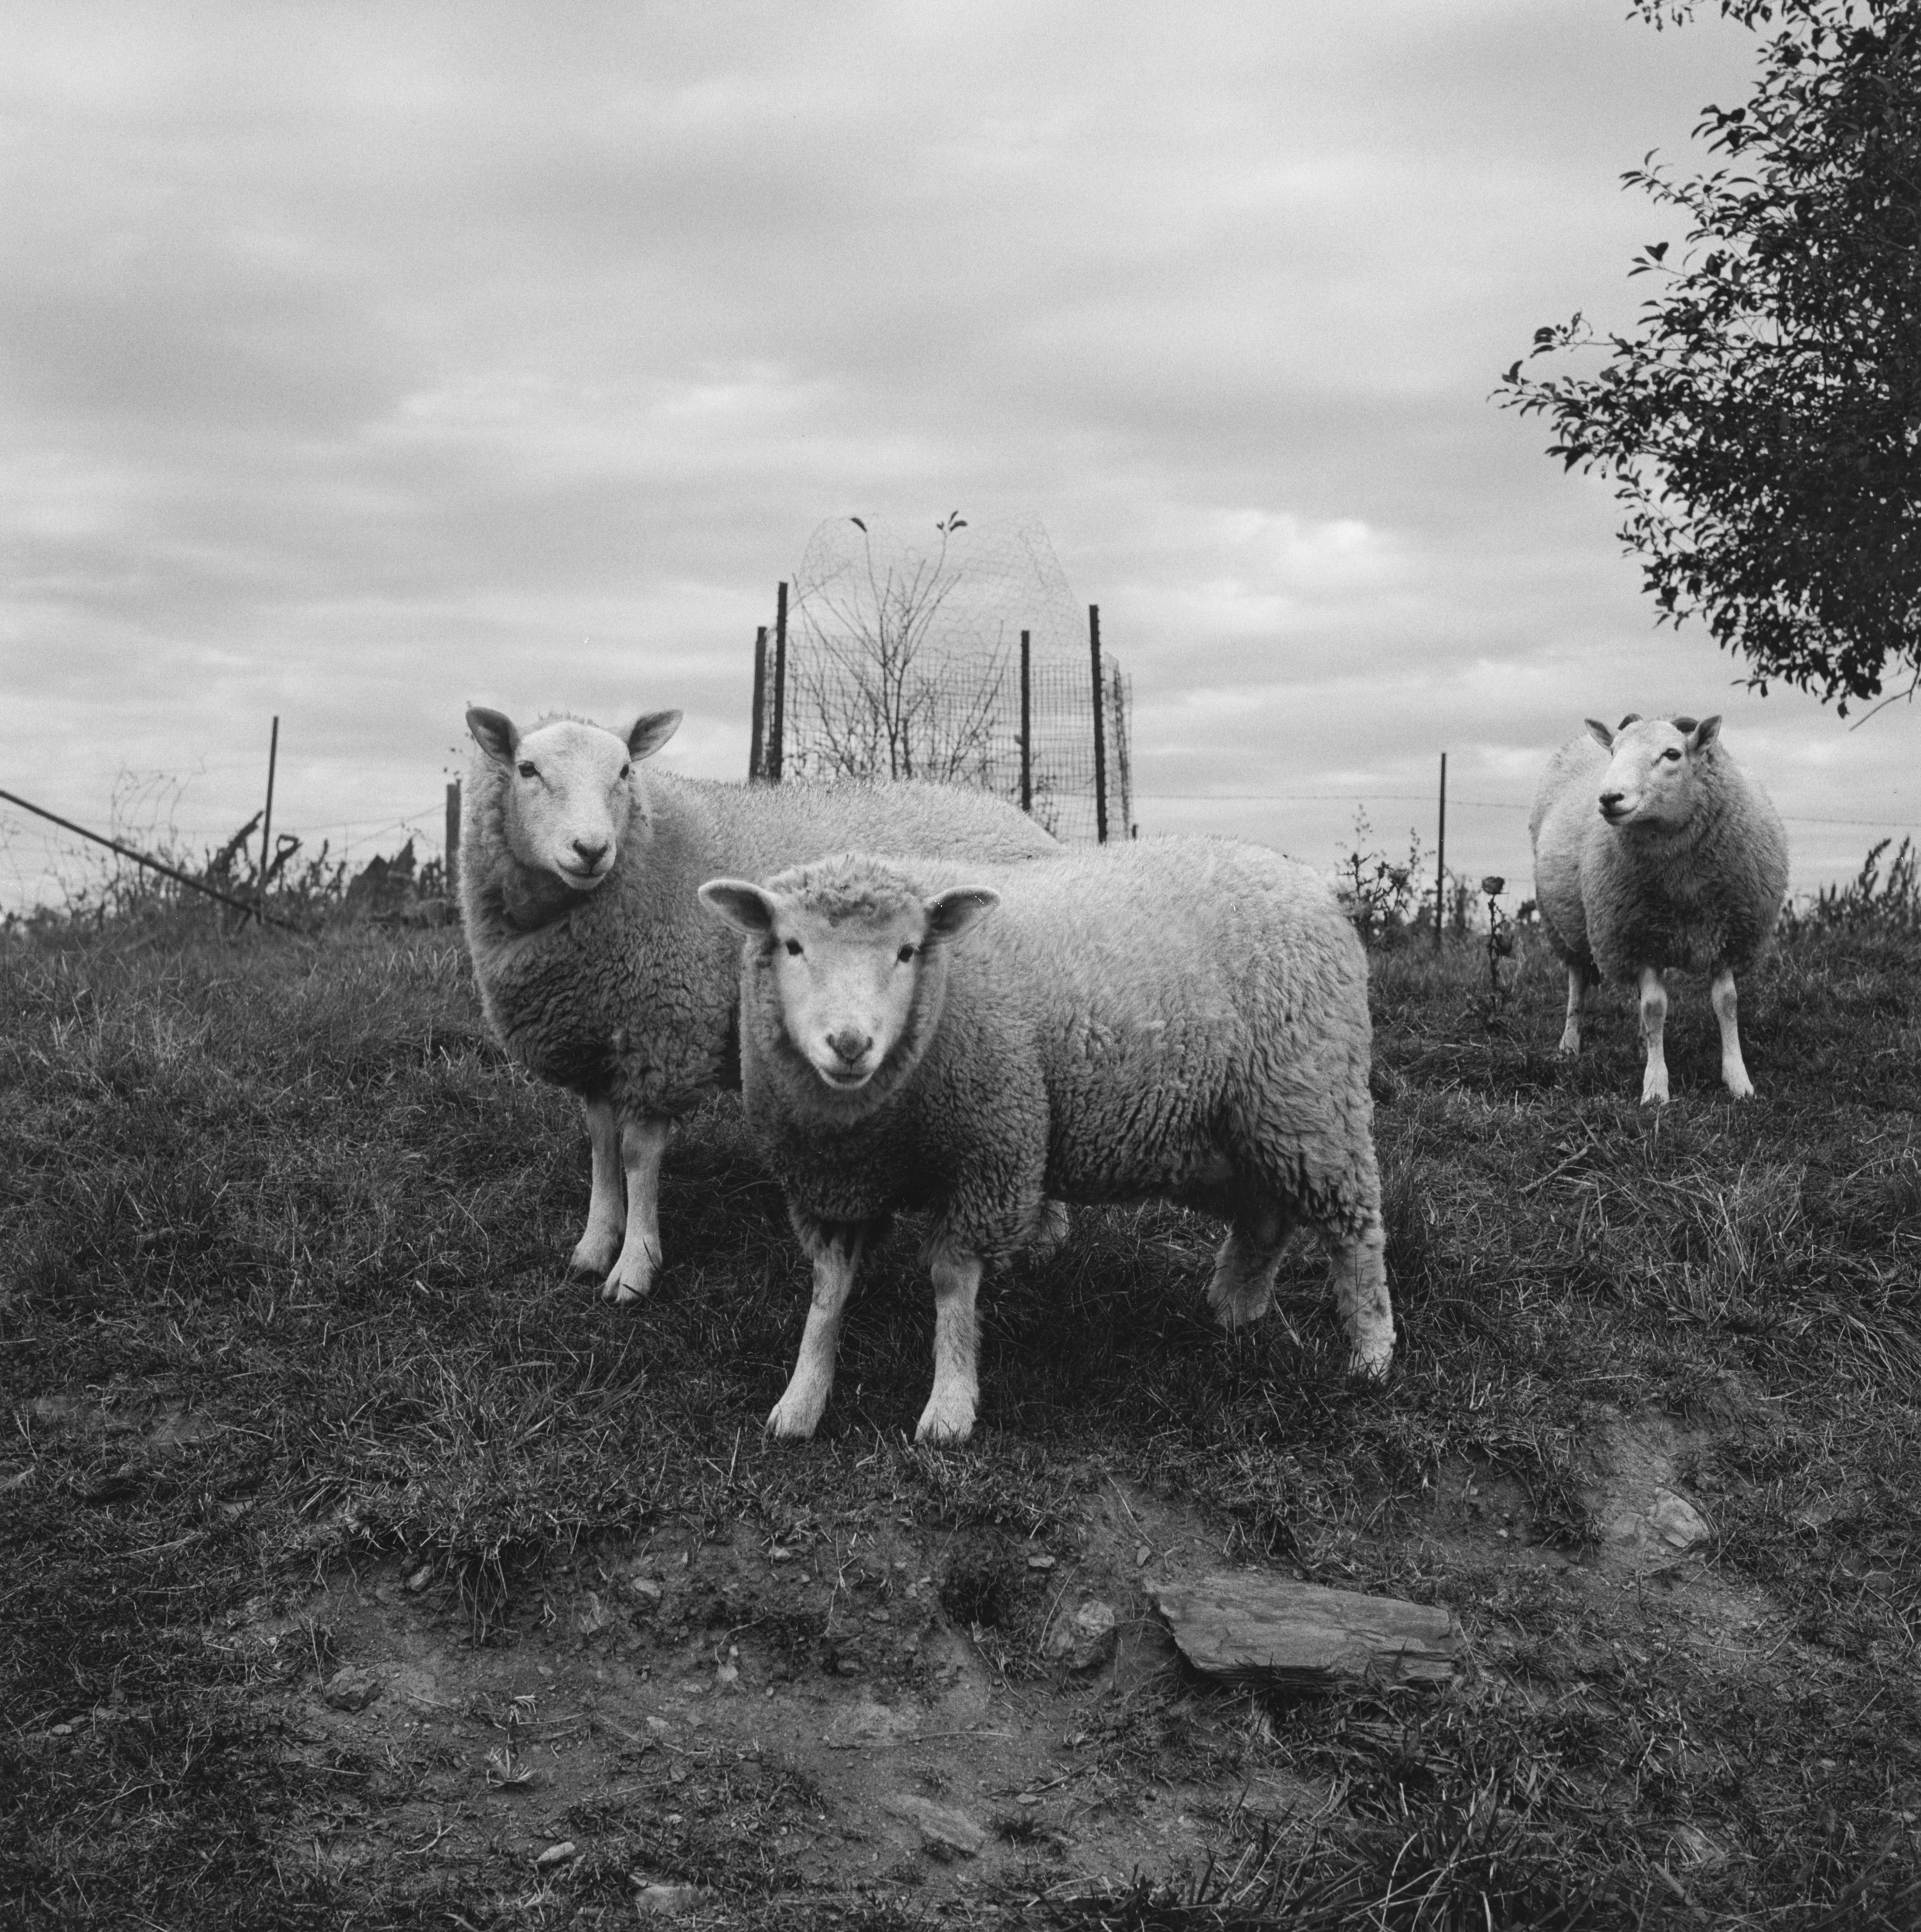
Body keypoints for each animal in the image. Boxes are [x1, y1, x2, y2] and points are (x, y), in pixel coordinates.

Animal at [456, 703, 1059, 1306]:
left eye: (625, 770)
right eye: (527, 769)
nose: (591, 849)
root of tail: (1021, 820)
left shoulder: (666, 1036)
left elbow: (637, 1155)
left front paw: (635, 1266)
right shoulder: (594, 1040)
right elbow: (602, 1146)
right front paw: (595, 1243)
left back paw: (1043, 1236)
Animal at [695, 838, 1383, 1445]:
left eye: (908, 951)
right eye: (792, 945)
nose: (849, 1044)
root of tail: (1299, 876)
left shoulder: (990, 1153)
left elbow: (952, 1285)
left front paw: (950, 1408)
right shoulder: (832, 1183)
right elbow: (827, 1293)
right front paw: (801, 1399)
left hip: (1312, 1099)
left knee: (1356, 1233)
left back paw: (1370, 1354)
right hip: (1239, 1129)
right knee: (1266, 1216)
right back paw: (1237, 1311)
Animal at [1530, 711, 1785, 1105]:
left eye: (1672, 754)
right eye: (1614, 751)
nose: (1609, 798)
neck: (1684, 885)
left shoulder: (1726, 934)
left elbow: (1727, 1003)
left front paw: (1738, 1080)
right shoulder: (1638, 939)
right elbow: (1654, 1007)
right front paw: (1655, 1087)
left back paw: (1640, 1043)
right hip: (1562, 925)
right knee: (1578, 982)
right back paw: (1569, 1045)